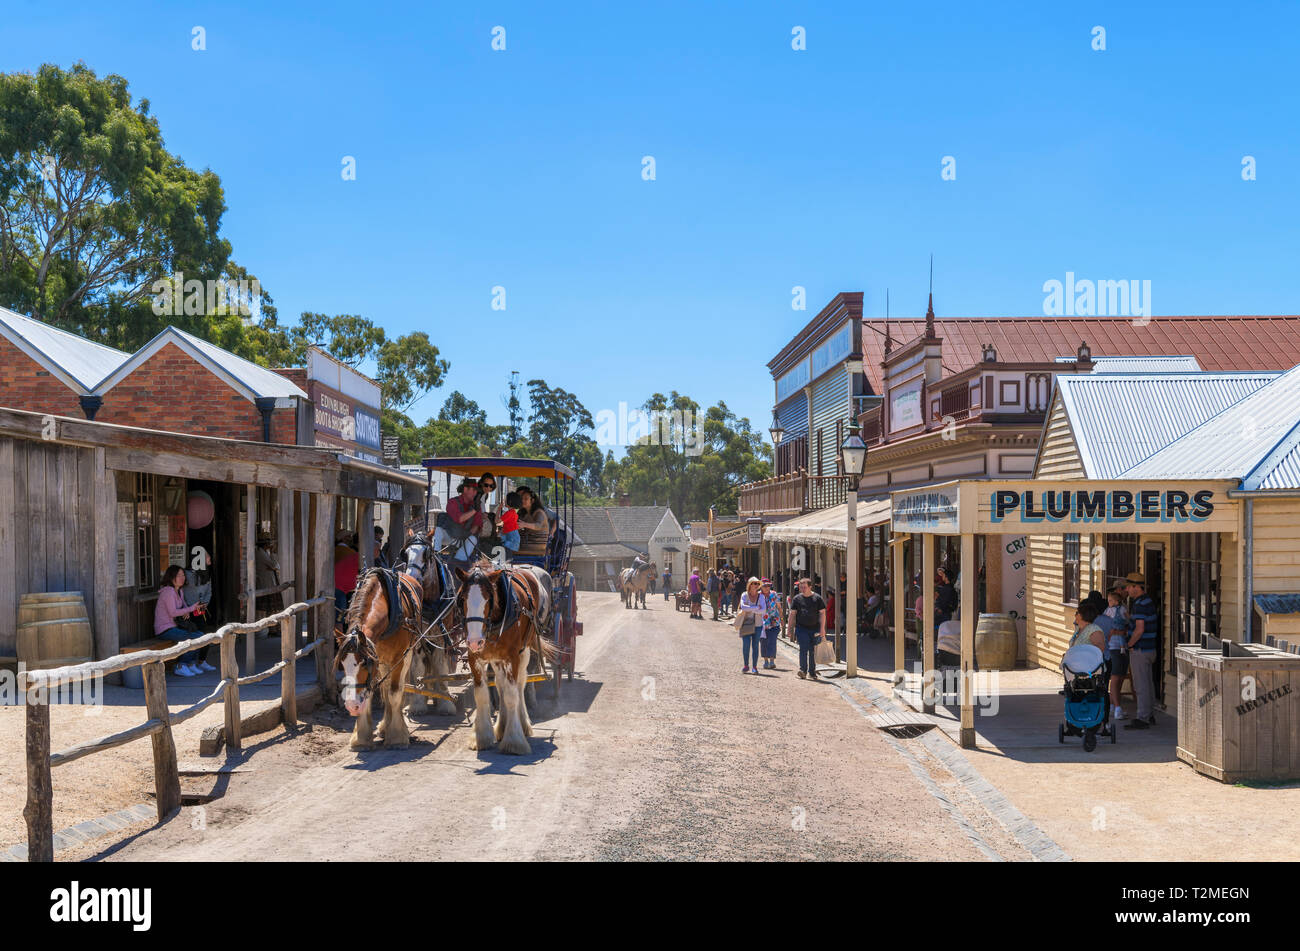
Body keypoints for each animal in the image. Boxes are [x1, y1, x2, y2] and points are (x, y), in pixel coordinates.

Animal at [454, 561, 556, 753]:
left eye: (489, 598)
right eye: (462, 598)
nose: (474, 641)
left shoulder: (512, 657)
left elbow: (511, 695)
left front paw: (514, 740)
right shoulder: (475, 658)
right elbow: (482, 695)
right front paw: (482, 737)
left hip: (524, 651)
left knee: (520, 683)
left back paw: (523, 724)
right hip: (496, 659)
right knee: (500, 684)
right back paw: (501, 726)